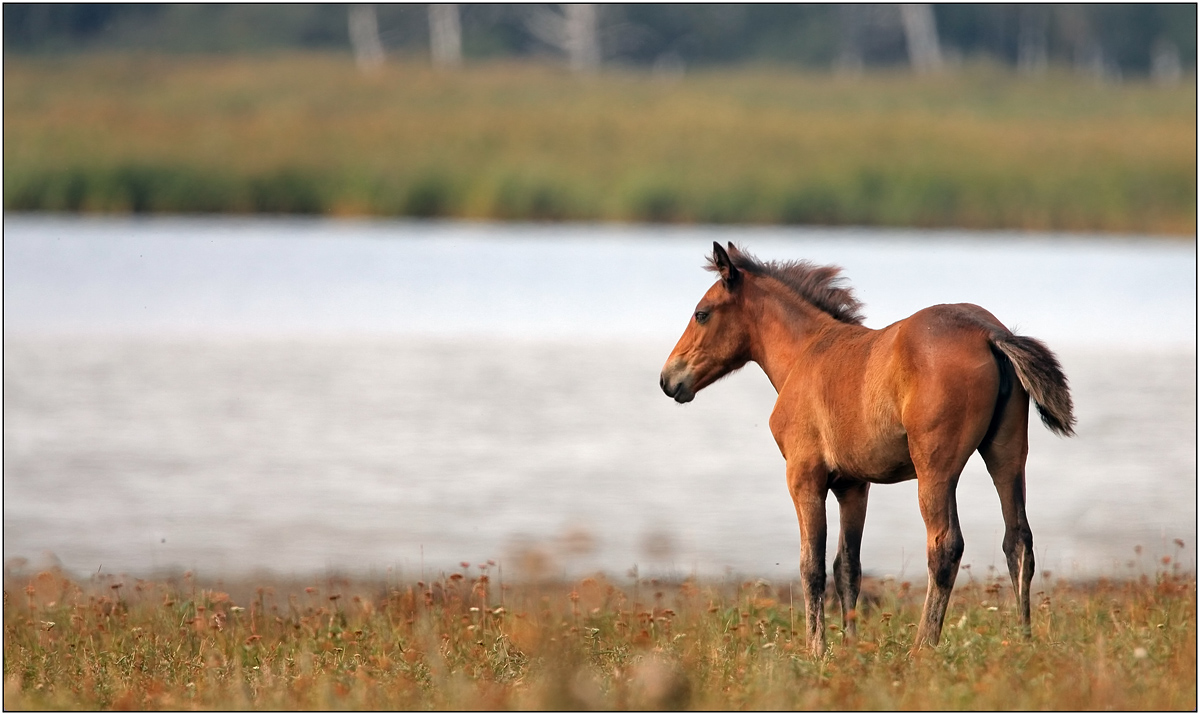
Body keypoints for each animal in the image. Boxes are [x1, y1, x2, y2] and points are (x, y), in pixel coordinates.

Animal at [662, 243, 1075, 657]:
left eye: (701, 313)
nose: (668, 378)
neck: (805, 353)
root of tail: (988, 331)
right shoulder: (853, 485)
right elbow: (848, 567)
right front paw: (849, 648)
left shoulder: (804, 476)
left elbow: (812, 566)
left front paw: (816, 650)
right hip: (1006, 454)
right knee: (1018, 540)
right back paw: (1023, 639)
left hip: (935, 469)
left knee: (945, 546)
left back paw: (922, 646)